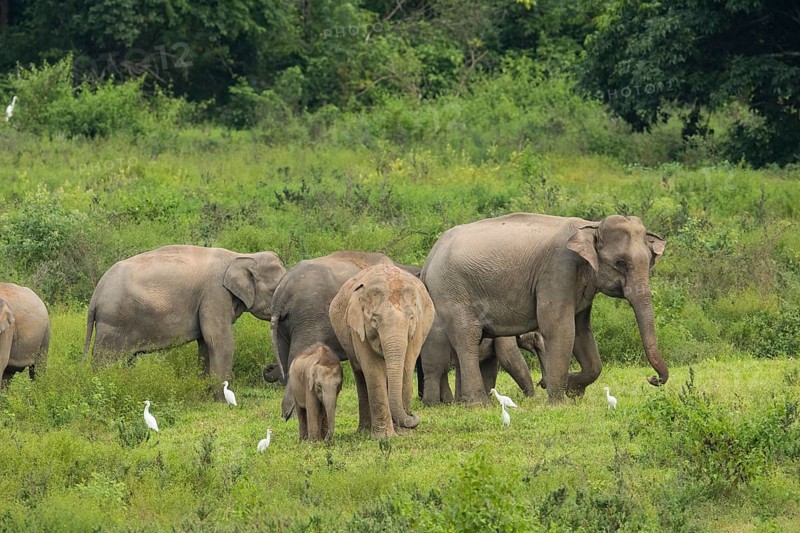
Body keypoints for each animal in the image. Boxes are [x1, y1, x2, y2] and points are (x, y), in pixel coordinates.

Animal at [83, 245, 286, 386]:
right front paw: (224, 402)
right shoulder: (214, 293)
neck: (241, 256)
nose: (268, 368)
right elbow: (219, 340)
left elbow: (205, 343)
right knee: (105, 361)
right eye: (275, 291)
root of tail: (96, 295)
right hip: (113, 323)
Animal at [330, 261, 435, 438]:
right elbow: (373, 370)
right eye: (374, 321)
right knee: (361, 376)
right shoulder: (358, 331)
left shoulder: (417, 331)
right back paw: (364, 432)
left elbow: (406, 368)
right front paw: (385, 437)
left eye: (411, 319)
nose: (412, 414)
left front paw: (403, 434)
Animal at [421, 213, 668, 405]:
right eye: (620, 263)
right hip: (451, 291)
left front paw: (573, 390)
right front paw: (558, 402)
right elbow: (560, 327)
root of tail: (430, 257)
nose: (652, 379)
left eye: (650, 261)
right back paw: (478, 404)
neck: (591, 225)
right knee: (467, 338)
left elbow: (582, 332)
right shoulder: (558, 270)